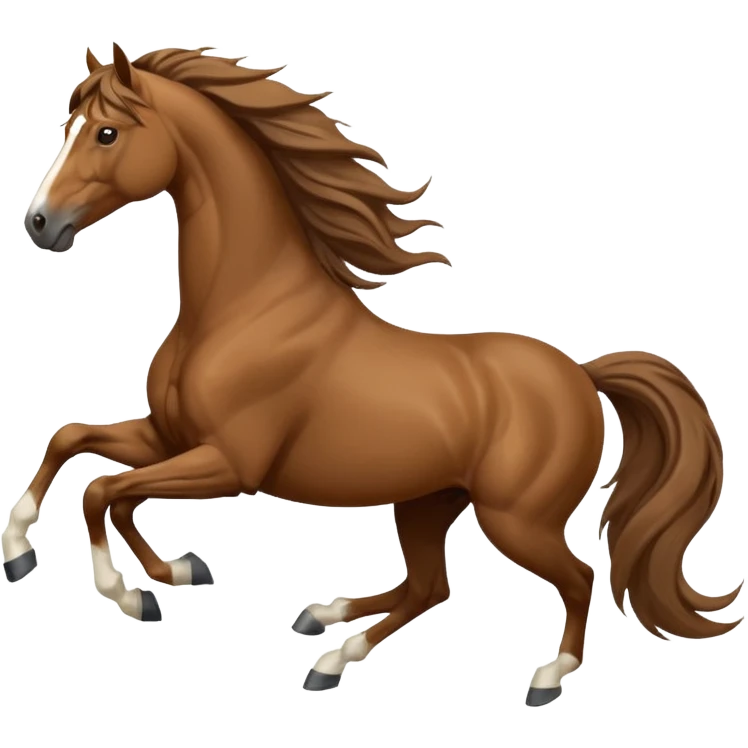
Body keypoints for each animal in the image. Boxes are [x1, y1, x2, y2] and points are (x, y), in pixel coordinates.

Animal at [8, 42, 741, 705]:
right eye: (71, 126)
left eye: (106, 132)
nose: (40, 223)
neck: (245, 308)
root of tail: (582, 375)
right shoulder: (170, 437)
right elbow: (75, 446)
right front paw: (140, 568)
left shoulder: (229, 463)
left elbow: (103, 491)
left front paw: (128, 592)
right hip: (427, 501)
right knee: (429, 585)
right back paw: (327, 632)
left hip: (514, 519)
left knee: (575, 577)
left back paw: (536, 678)